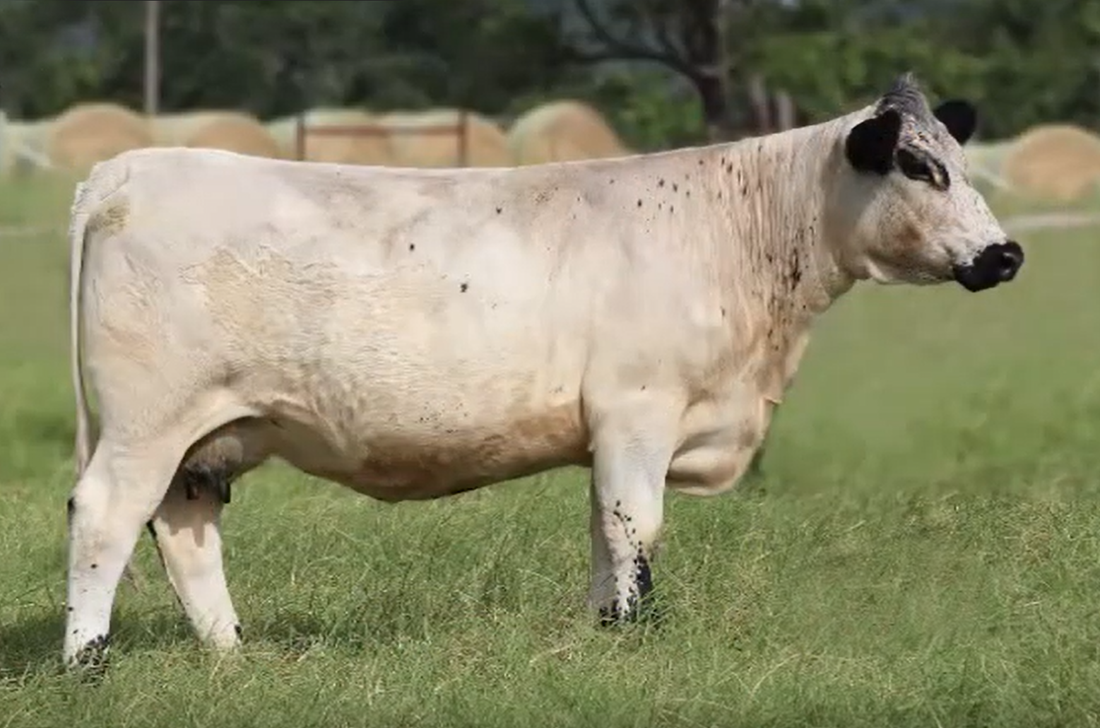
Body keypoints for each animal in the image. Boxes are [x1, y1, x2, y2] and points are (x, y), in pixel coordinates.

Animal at [62, 73, 1022, 669]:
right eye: (917, 165)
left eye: (960, 159)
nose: (1005, 252)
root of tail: (127, 168)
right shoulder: (638, 410)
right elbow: (635, 527)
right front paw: (635, 632)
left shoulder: (616, 430)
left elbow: (604, 530)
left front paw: (605, 631)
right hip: (148, 420)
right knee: (106, 517)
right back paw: (86, 663)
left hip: (207, 436)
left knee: (185, 532)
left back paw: (233, 654)